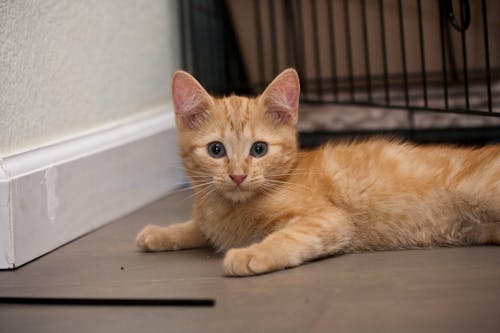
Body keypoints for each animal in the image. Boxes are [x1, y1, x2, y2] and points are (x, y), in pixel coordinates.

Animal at [135, 67, 498, 274]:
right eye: (216, 150)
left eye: (259, 149)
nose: (238, 176)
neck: (227, 209)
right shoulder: (212, 223)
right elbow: (198, 228)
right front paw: (161, 233)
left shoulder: (329, 219)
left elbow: (288, 236)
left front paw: (252, 253)